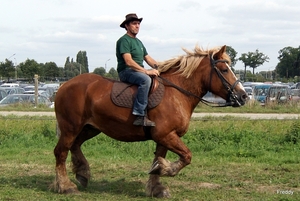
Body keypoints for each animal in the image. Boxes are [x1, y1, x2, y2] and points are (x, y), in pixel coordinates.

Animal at [54, 44, 248, 197]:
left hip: (89, 128)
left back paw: (82, 173)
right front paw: (166, 169)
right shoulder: (165, 135)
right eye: (224, 70)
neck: (176, 93)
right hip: (71, 128)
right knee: (61, 152)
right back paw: (66, 186)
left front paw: (157, 185)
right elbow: (187, 156)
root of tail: (64, 85)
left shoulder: (166, 137)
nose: (244, 96)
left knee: (75, 145)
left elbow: (159, 158)